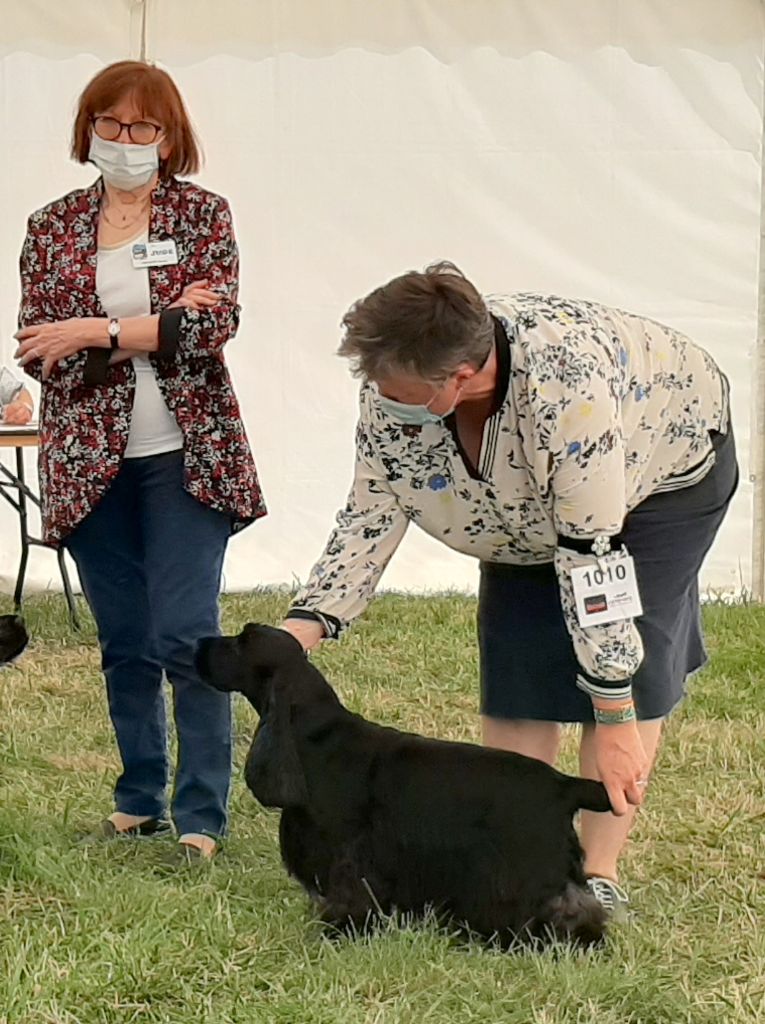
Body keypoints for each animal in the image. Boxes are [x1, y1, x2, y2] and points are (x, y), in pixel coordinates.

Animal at [195, 626, 610, 946]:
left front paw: (338, 930)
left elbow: (351, 894)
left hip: (526, 870)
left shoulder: (348, 853)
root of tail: (564, 784)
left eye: (240, 642)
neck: (312, 732)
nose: (199, 644)